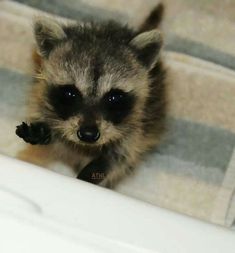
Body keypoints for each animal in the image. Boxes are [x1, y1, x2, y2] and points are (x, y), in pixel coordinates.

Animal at [16, 4, 167, 188]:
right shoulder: (41, 100)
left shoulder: (137, 129)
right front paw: (45, 130)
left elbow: (116, 160)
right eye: (70, 93)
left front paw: (89, 176)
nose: (88, 134)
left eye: (114, 98)